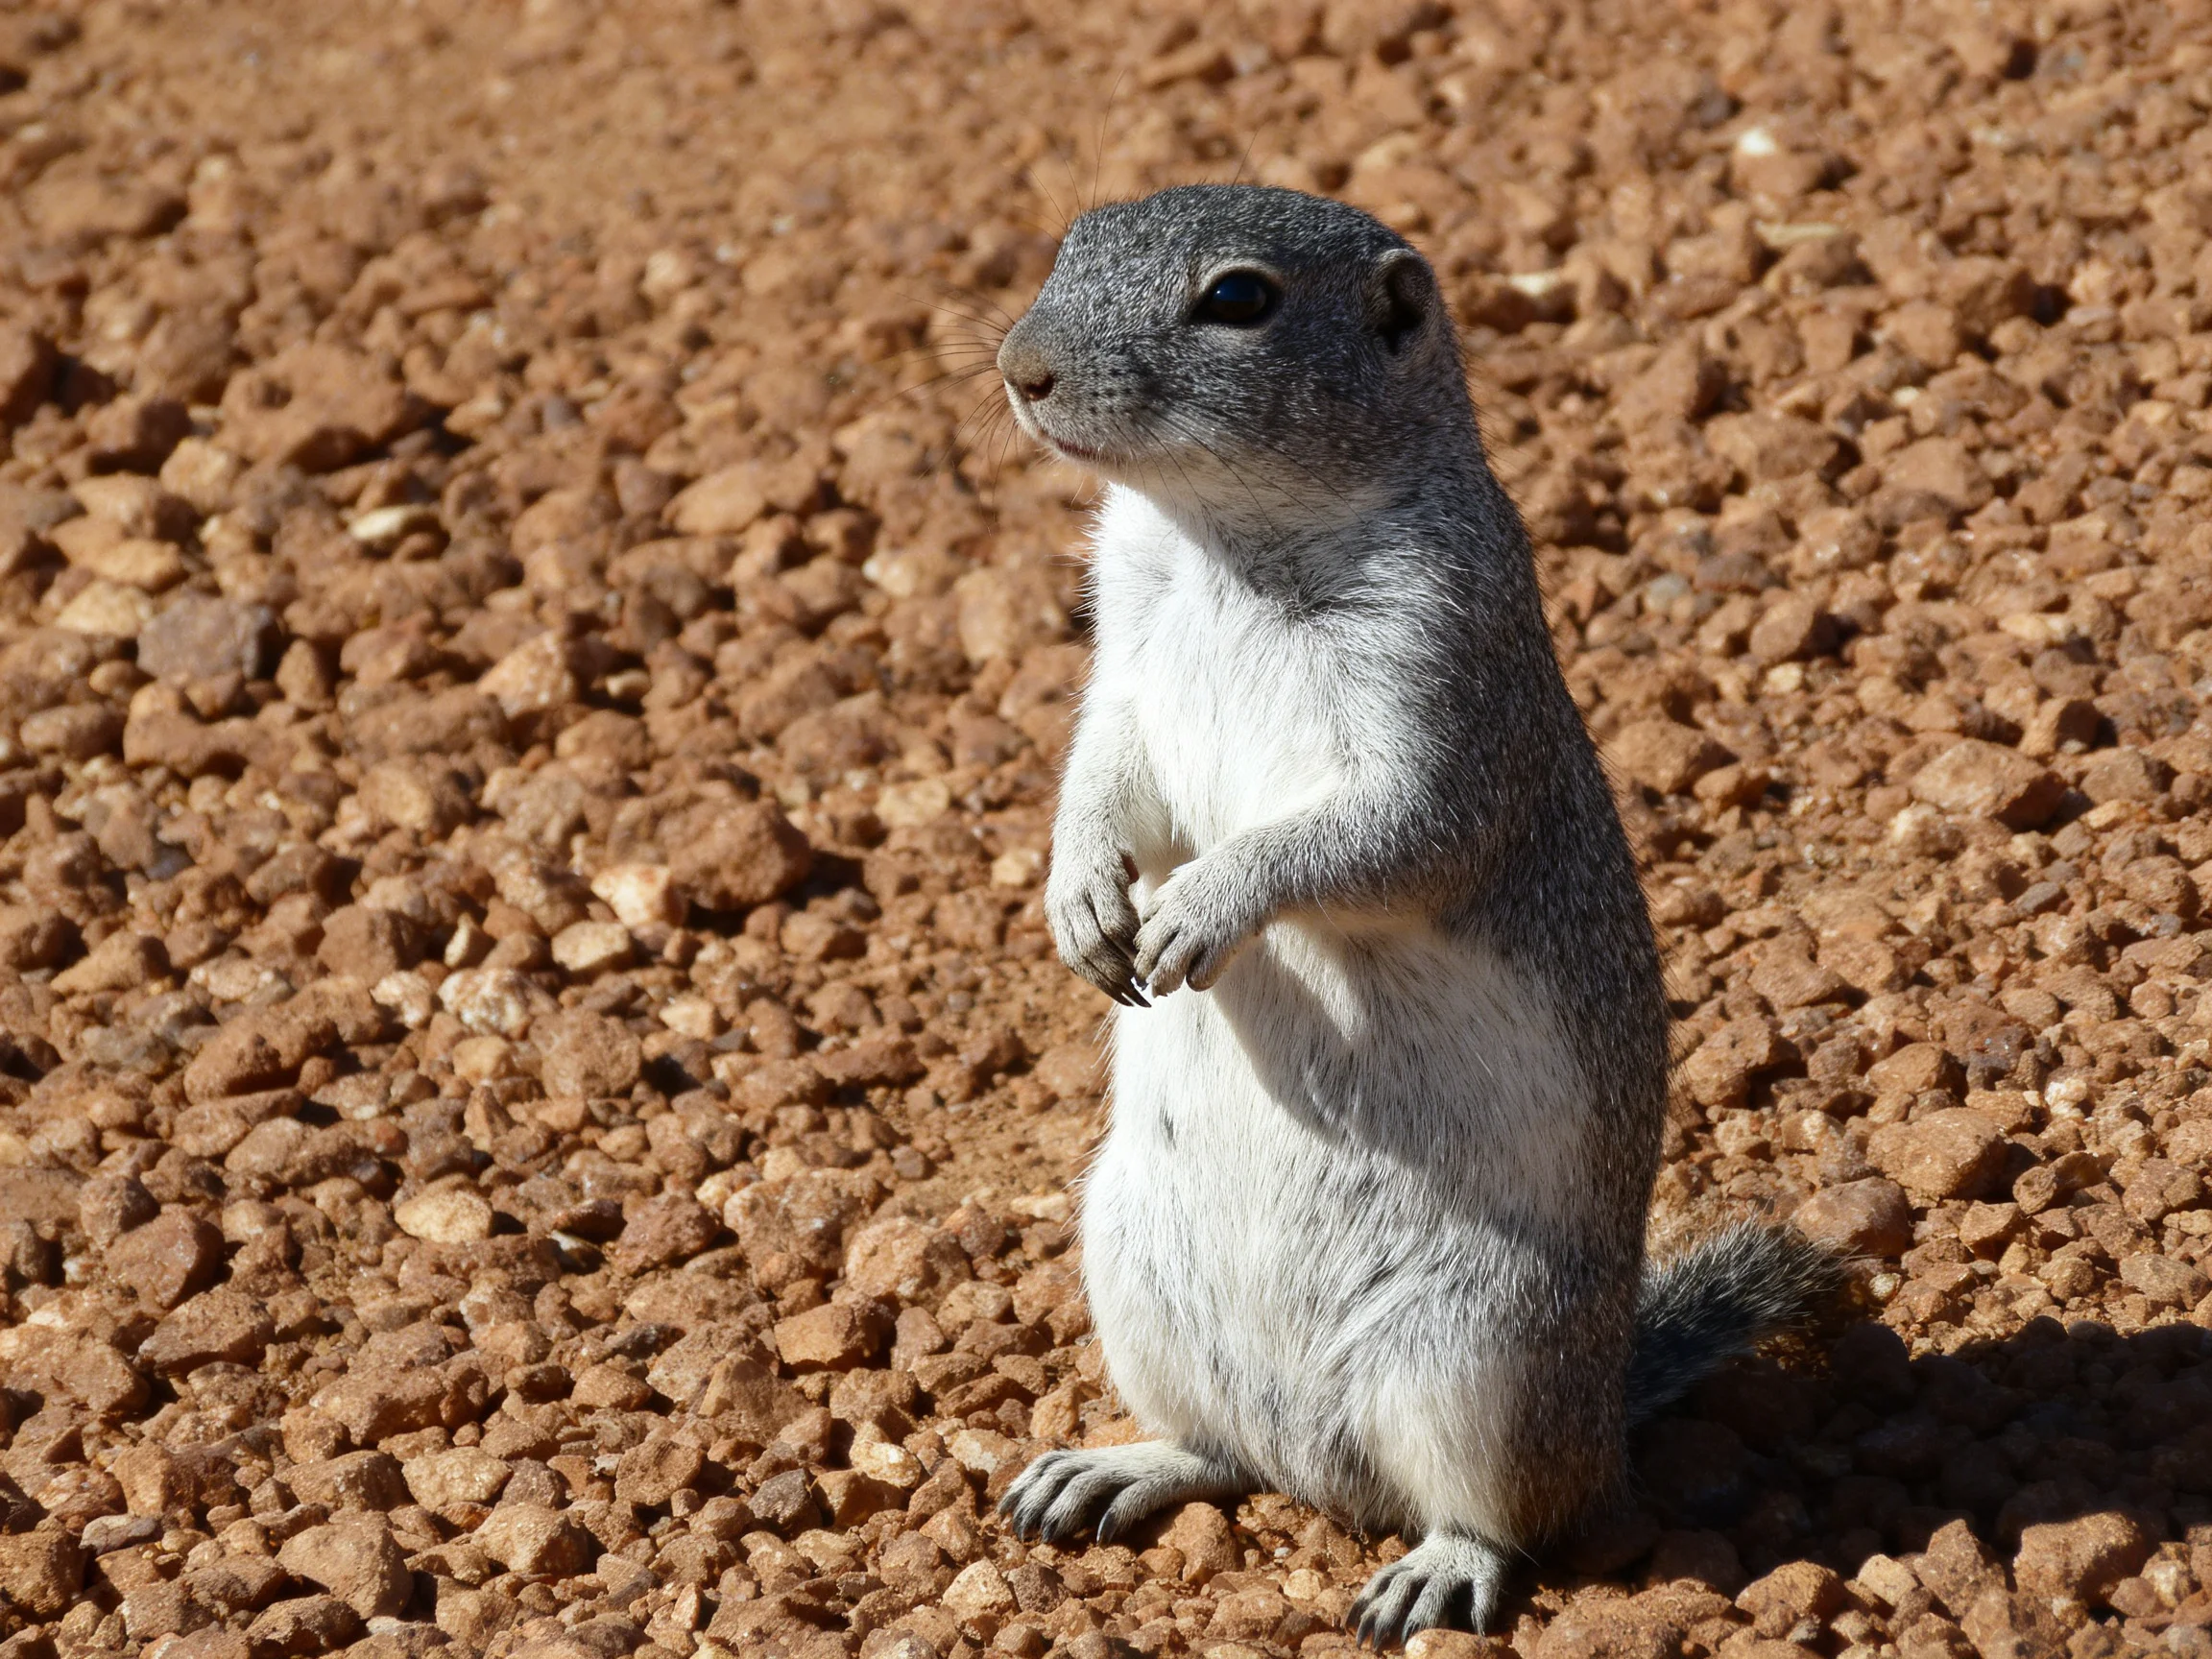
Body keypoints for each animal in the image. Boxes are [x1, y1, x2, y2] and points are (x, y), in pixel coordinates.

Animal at [990, 184, 1837, 1646]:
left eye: (1239, 299)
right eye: (1071, 243)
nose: (1018, 368)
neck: (1221, 541)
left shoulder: (1439, 683)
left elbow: (1380, 835)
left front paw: (1202, 904)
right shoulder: (1123, 669)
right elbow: (1102, 778)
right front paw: (1081, 898)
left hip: (1477, 1357)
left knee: (1510, 1512)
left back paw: (1441, 1567)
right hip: (1133, 1274)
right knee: (1224, 1451)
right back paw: (1119, 1467)